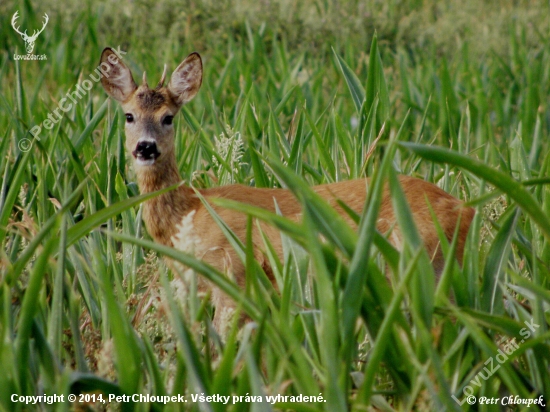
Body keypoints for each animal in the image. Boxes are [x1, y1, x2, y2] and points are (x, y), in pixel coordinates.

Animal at [100, 46, 478, 334]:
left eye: (168, 117)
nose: (145, 148)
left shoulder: (234, 272)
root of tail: (466, 209)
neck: (188, 213)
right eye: (129, 116)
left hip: (424, 265)